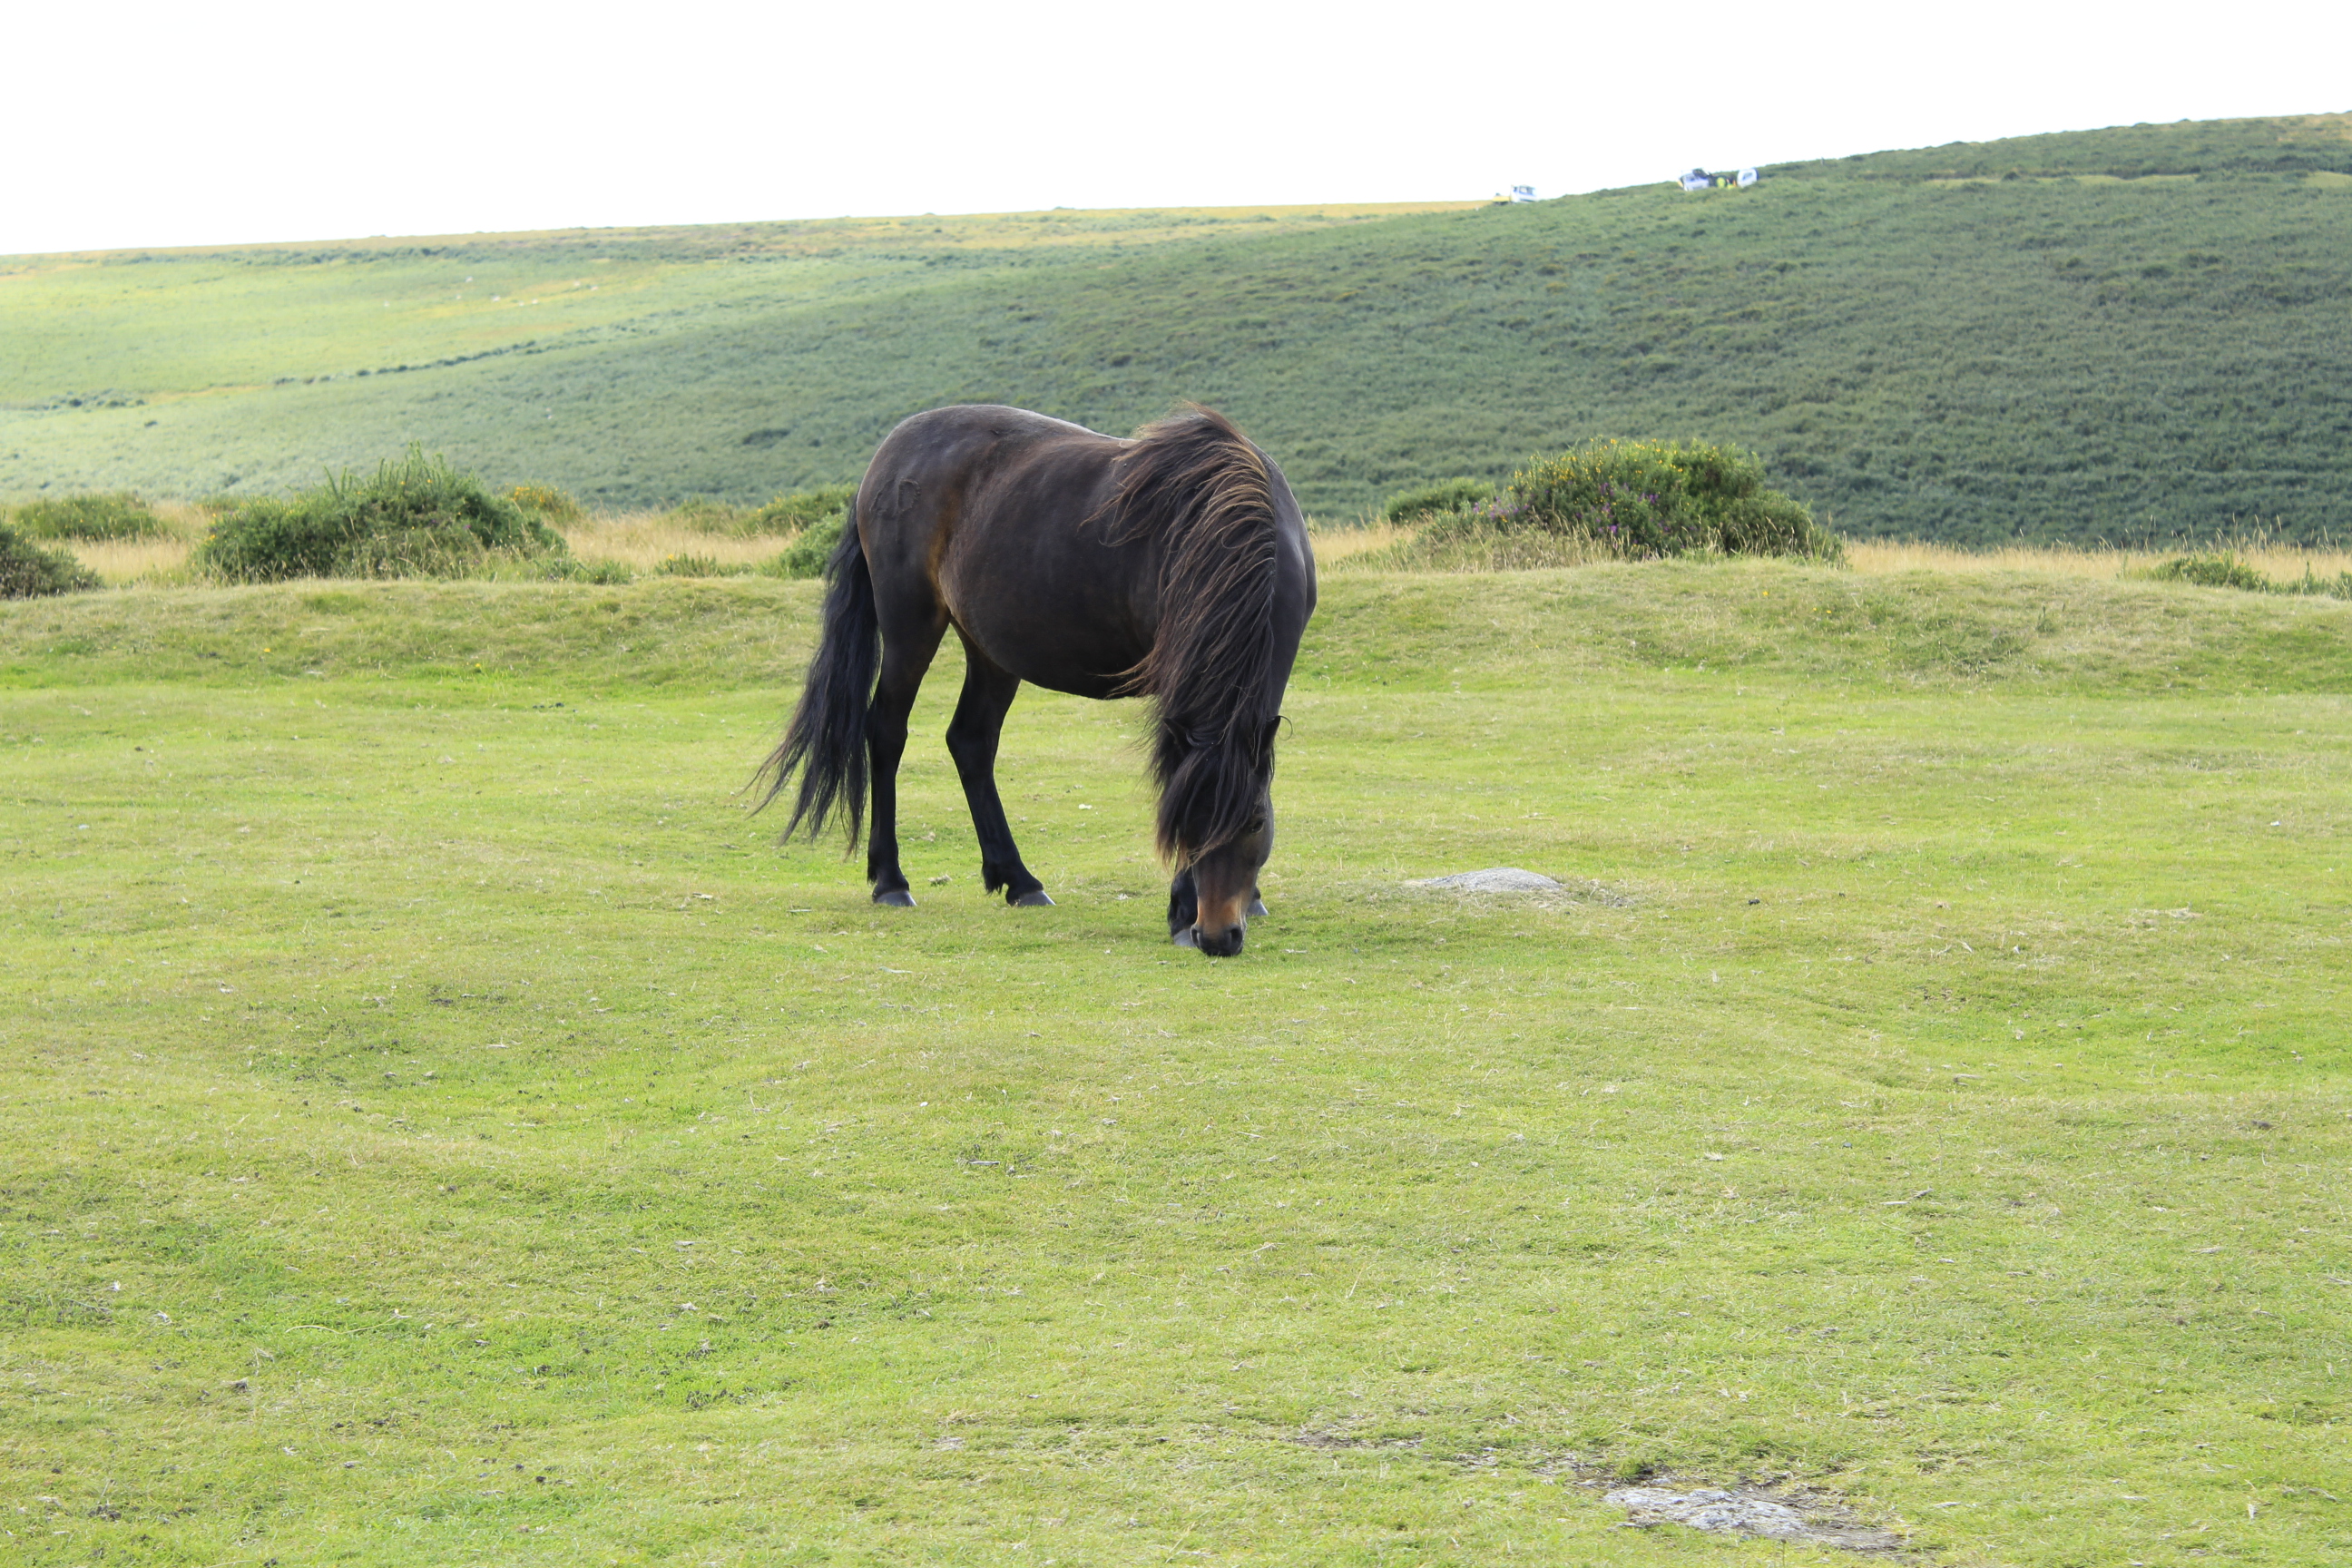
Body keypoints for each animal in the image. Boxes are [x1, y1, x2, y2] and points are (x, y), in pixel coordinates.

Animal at [753, 404, 1316, 957]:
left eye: (1256, 823)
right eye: (1181, 824)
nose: (1217, 937)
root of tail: (887, 457)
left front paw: (1251, 899)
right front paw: (1181, 910)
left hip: (990, 652)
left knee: (971, 742)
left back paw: (1018, 881)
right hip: (910, 626)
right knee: (887, 732)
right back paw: (892, 881)